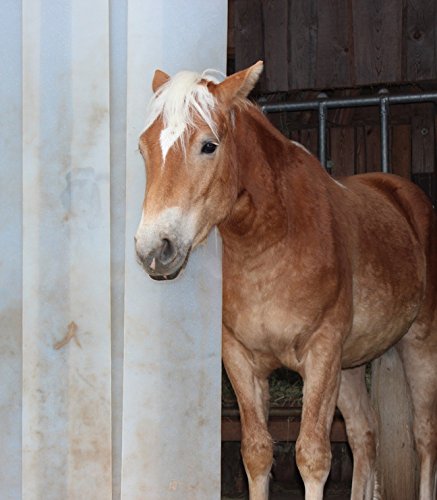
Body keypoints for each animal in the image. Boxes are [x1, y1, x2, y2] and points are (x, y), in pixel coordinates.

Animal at [135, 62, 436, 500]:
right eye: (143, 148)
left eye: (209, 145)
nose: (154, 249)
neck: (271, 242)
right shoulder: (241, 358)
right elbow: (257, 453)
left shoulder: (321, 353)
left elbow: (312, 457)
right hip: (349, 366)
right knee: (364, 434)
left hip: (419, 344)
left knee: (424, 436)